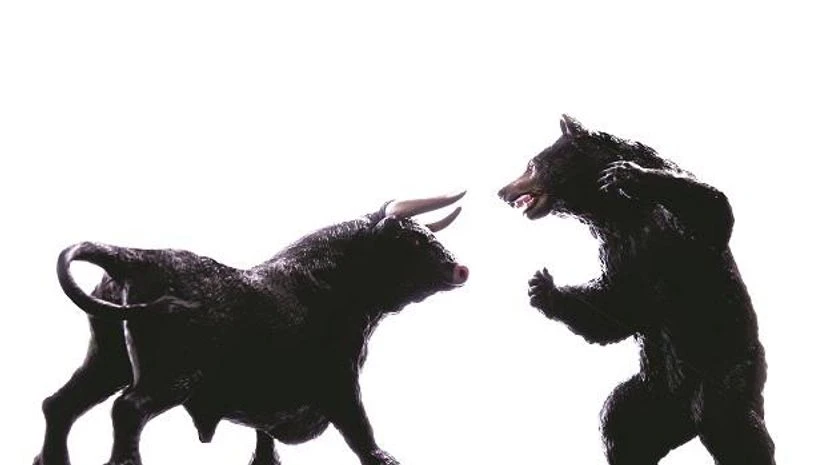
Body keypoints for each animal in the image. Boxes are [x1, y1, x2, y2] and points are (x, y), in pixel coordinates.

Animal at [34, 192, 469, 465]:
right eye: (412, 241)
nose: (460, 268)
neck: (326, 284)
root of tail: (135, 257)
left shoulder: (269, 403)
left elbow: (264, 442)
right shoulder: (339, 380)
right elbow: (360, 430)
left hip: (106, 361)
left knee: (60, 404)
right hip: (168, 378)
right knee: (127, 410)